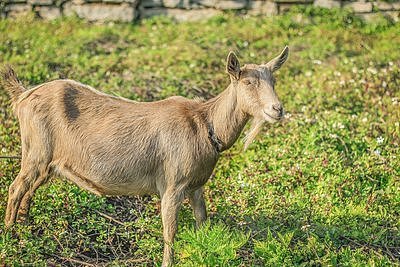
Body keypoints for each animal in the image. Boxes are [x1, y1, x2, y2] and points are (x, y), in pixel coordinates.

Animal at [0, 47, 288, 266]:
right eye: (248, 82)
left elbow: (202, 221)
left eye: (274, 81)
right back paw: (10, 236)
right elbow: (170, 231)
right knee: (16, 188)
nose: (277, 109)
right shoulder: (172, 184)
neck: (205, 125)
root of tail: (23, 96)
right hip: (36, 151)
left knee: (29, 190)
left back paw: (25, 229)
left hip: (47, 160)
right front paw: (167, 262)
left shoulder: (196, 185)